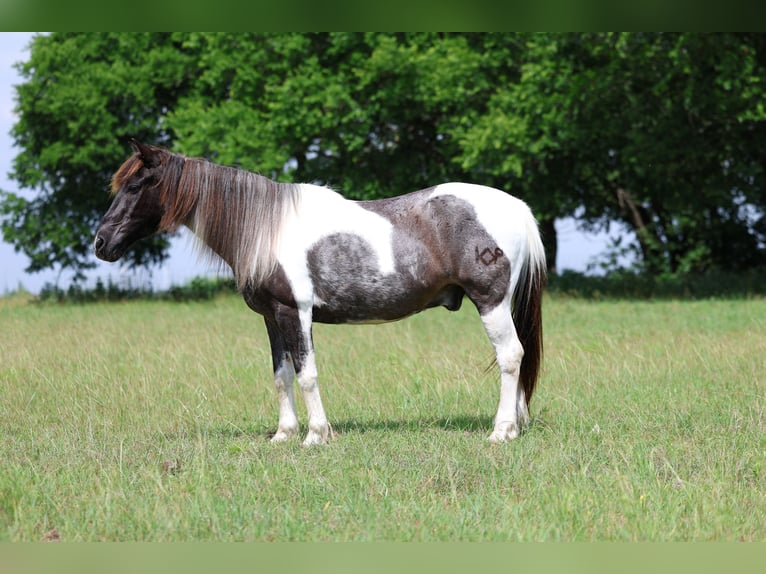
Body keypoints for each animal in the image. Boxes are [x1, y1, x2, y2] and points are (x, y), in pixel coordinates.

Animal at [94, 140, 546, 446]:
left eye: (135, 185)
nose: (101, 243)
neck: (267, 226)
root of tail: (517, 207)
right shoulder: (271, 317)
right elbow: (281, 375)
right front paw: (283, 434)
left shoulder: (295, 312)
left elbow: (306, 373)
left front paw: (315, 435)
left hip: (491, 303)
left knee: (511, 357)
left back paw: (502, 431)